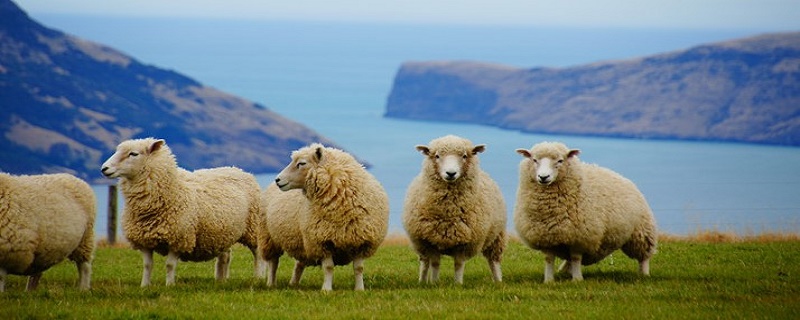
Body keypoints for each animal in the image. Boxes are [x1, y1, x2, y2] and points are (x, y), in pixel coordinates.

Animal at [101, 136, 260, 286]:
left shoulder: (179, 238)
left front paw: (170, 285)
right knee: (225, 257)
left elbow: (170, 265)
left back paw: (259, 277)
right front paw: (144, 286)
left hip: (254, 228)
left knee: (257, 254)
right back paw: (221, 279)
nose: (104, 168)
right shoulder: (144, 240)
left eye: (133, 154)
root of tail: (237, 169)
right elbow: (147, 265)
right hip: (222, 232)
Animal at [260, 144, 390, 292]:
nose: (277, 180)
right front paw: (326, 289)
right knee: (273, 262)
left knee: (299, 264)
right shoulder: (322, 241)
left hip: (301, 240)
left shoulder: (360, 240)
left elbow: (359, 268)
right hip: (269, 237)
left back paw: (294, 284)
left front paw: (359, 289)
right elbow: (328, 267)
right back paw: (271, 283)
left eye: (302, 163)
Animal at [400, 134, 506, 284]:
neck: (448, 211)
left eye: (464, 156)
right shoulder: (430, 240)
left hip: (497, 236)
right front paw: (434, 283)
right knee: (425, 262)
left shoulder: (466, 242)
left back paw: (498, 281)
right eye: (437, 156)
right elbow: (435, 263)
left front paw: (458, 283)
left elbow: (459, 264)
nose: (451, 173)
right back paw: (422, 281)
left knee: (494, 261)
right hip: (420, 244)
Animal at [512, 141, 656, 282]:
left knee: (644, 256)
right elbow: (549, 259)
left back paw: (644, 274)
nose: (543, 177)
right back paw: (565, 271)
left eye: (560, 160)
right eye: (534, 160)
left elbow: (576, 258)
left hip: (641, 231)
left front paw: (577, 280)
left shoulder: (580, 236)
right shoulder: (545, 236)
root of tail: (623, 178)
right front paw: (549, 280)